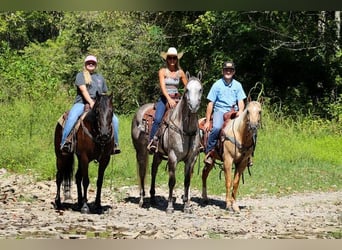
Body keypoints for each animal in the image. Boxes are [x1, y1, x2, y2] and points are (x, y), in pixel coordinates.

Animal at [132, 72, 203, 213]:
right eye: (187, 89)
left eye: (200, 89)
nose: (193, 107)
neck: (186, 129)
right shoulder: (173, 157)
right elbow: (172, 181)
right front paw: (170, 206)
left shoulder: (191, 159)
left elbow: (187, 181)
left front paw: (186, 206)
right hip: (141, 152)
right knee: (142, 172)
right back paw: (142, 200)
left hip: (158, 154)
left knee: (153, 170)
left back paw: (153, 198)